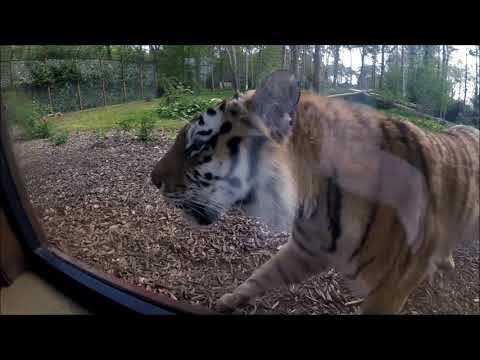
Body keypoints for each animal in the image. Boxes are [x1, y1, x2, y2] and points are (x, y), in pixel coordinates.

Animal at [151, 69, 480, 312]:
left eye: (197, 146)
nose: (153, 180)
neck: (313, 200)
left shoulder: (389, 289)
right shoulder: (306, 249)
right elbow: (264, 273)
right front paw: (229, 300)